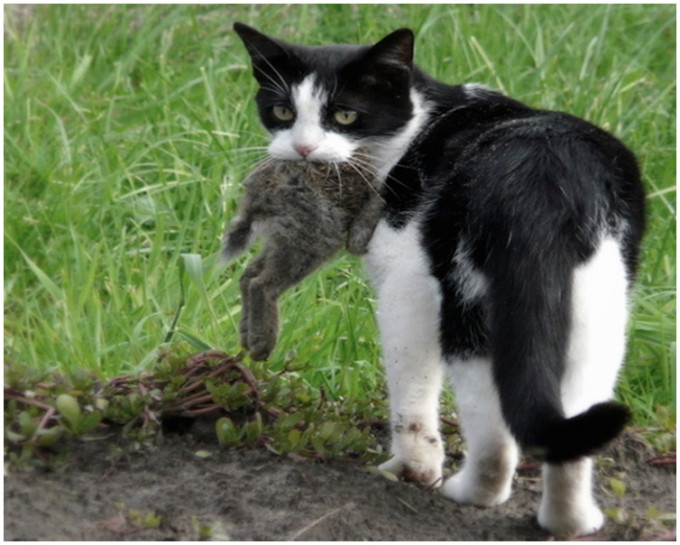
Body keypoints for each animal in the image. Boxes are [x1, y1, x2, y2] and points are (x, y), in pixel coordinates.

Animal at [231, 22, 644, 536]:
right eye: (283, 111)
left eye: (345, 114)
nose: (301, 149)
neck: (417, 126)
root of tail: (543, 177)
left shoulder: (404, 278)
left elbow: (411, 385)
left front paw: (413, 468)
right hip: (599, 306)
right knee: (575, 411)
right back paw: (569, 521)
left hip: (467, 302)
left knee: (489, 427)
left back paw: (470, 491)